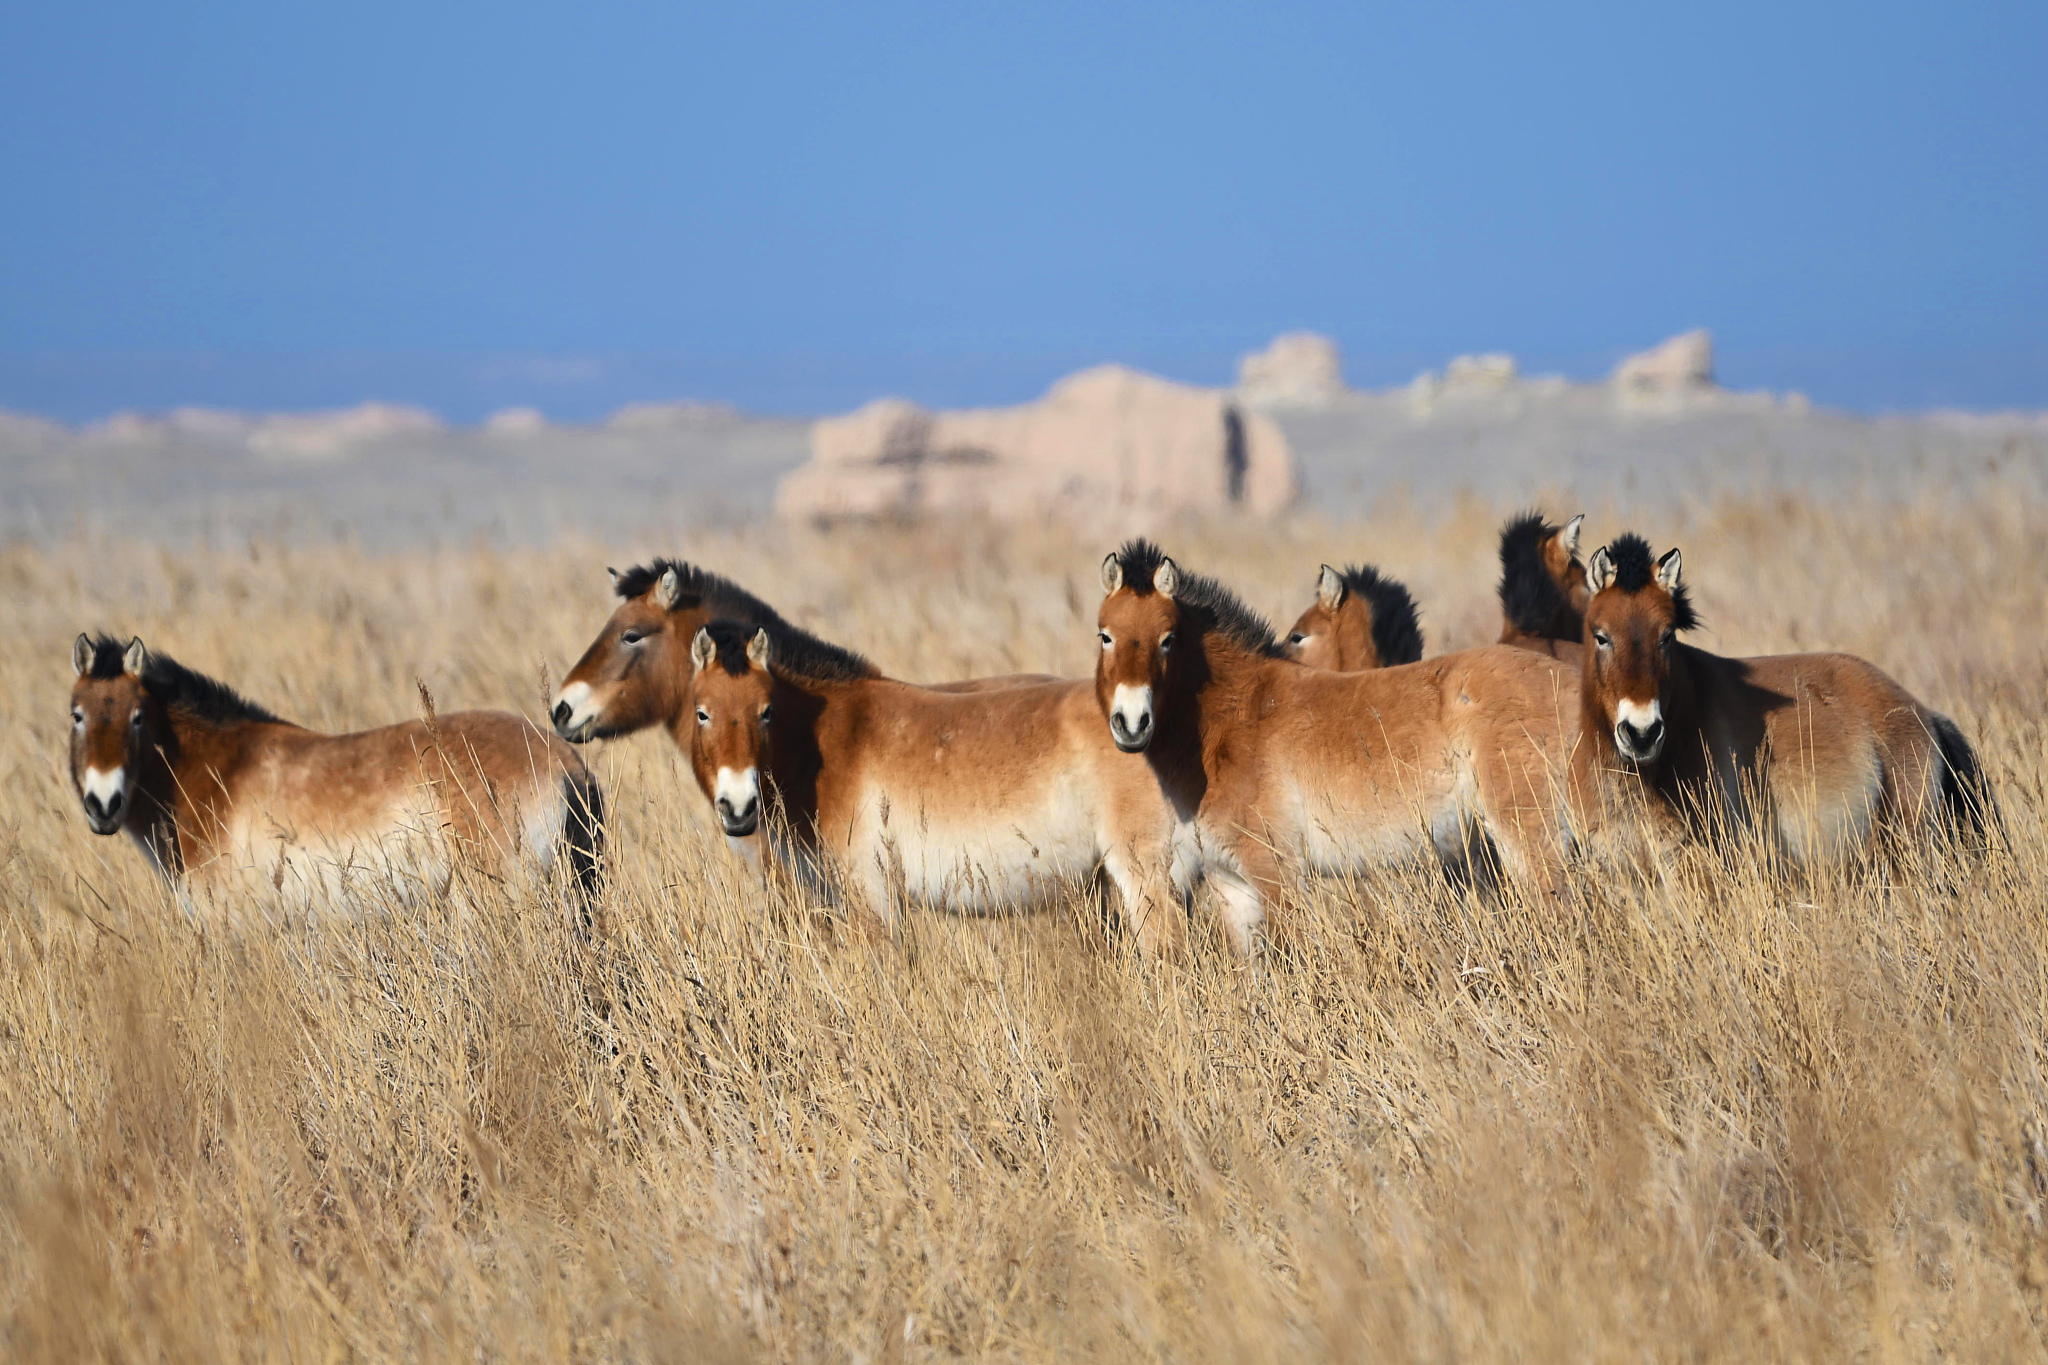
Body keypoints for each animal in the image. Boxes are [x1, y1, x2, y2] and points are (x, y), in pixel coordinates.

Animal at [678, 620, 1194, 954]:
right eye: (702, 712)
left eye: (765, 712)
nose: (738, 807)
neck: (830, 741)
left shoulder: (872, 893)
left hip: (1143, 878)